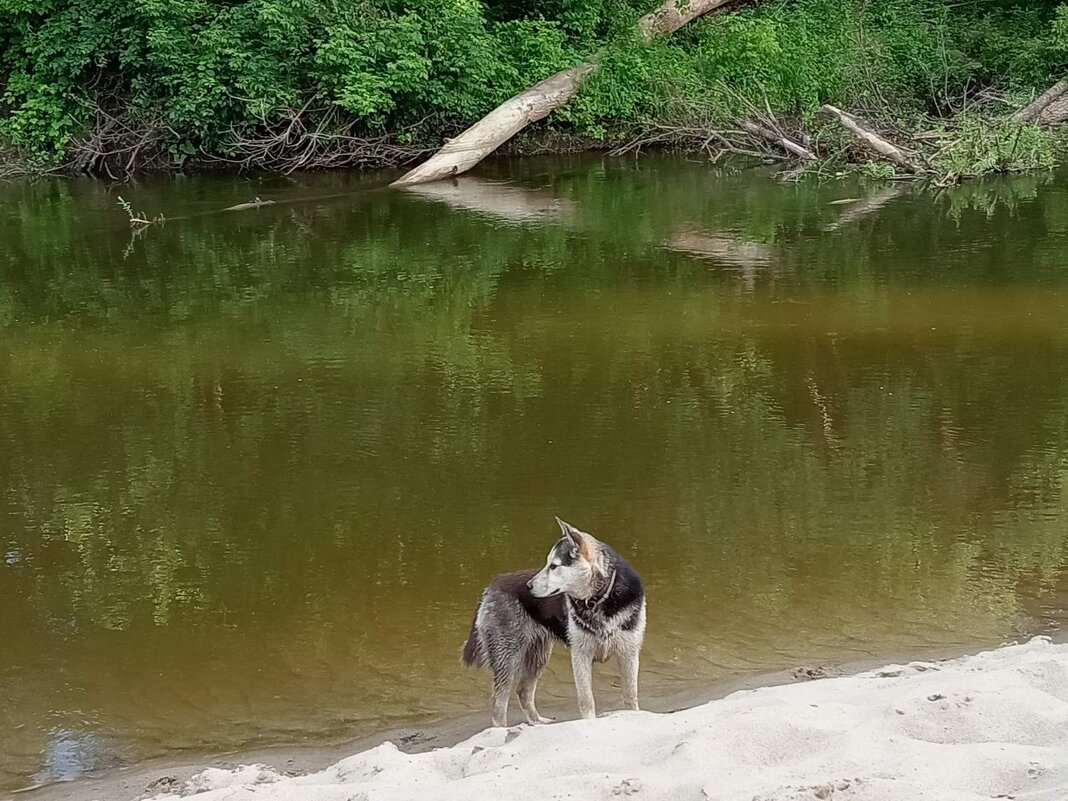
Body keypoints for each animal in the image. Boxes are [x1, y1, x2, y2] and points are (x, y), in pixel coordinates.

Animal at [457, 516, 640, 730]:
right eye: (547, 564)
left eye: (553, 566)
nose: (528, 586)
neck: (599, 599)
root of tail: (492, 584)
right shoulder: (580, 655)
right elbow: (586, 700)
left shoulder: (629, 652)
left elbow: (631, 696)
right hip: (508, 655)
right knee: (498, 702)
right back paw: (502, 730)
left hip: (538, 653)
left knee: (523, 690)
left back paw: (537, 723)